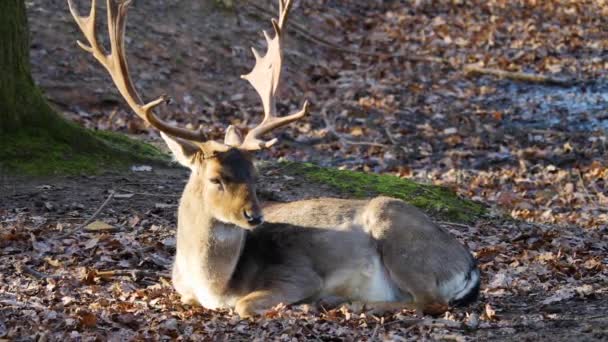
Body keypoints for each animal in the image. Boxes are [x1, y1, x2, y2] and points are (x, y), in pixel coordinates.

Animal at [67, 0, 480, 318]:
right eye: (216, 178)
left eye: (255, 174)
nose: (255, 216)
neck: (214, 285)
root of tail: (469, 264)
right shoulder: (181, 289)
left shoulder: (296, 274)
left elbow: (244, 305)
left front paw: (305, 302)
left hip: (397, 234)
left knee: (431, 301)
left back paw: (345, 303)